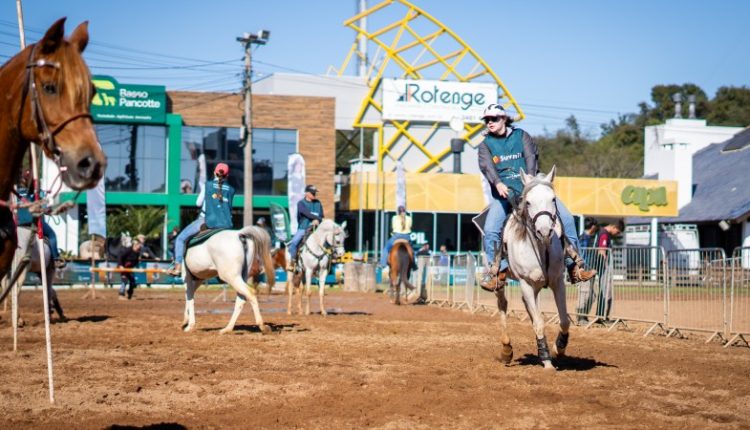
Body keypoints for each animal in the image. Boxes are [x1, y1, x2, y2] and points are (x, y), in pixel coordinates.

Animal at [500, 167, 568, 370]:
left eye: (553, 199)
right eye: (528, 202)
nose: (544, 231)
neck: (541, 249)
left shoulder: (558, 282)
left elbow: (564, 320)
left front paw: (559, 348)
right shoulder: (526, 283)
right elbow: (539, 322)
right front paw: (546, 359)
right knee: (503, 305)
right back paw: (506, 350)